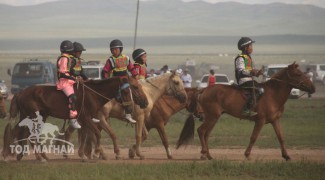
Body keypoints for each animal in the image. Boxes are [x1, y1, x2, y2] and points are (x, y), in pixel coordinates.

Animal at [1, 76, 147, 162]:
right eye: (131, 88)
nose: (130, 108)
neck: (92, 94)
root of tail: (21, 92)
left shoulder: (85, 119)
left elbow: (86, 135)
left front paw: (83, 154)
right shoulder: (86, 118)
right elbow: (96, 134)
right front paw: (97, 153)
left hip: (32, 117)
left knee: (19, 133)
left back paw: (27, 155)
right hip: (33, 117)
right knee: (29, 136)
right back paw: (36, 157)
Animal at [176, 63, 316, 160]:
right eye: (299, 74)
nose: (313, 88)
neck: (273, 94)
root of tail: (204, 90)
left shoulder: (275, 120)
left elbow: (281, 137)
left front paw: (286, 156)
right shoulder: (260, 120)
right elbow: (253, 137)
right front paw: (247, 154)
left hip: (213, 118)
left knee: (206, 134)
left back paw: (208, 155)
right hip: (212, 117)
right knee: (201, 131)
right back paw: (205, 153)